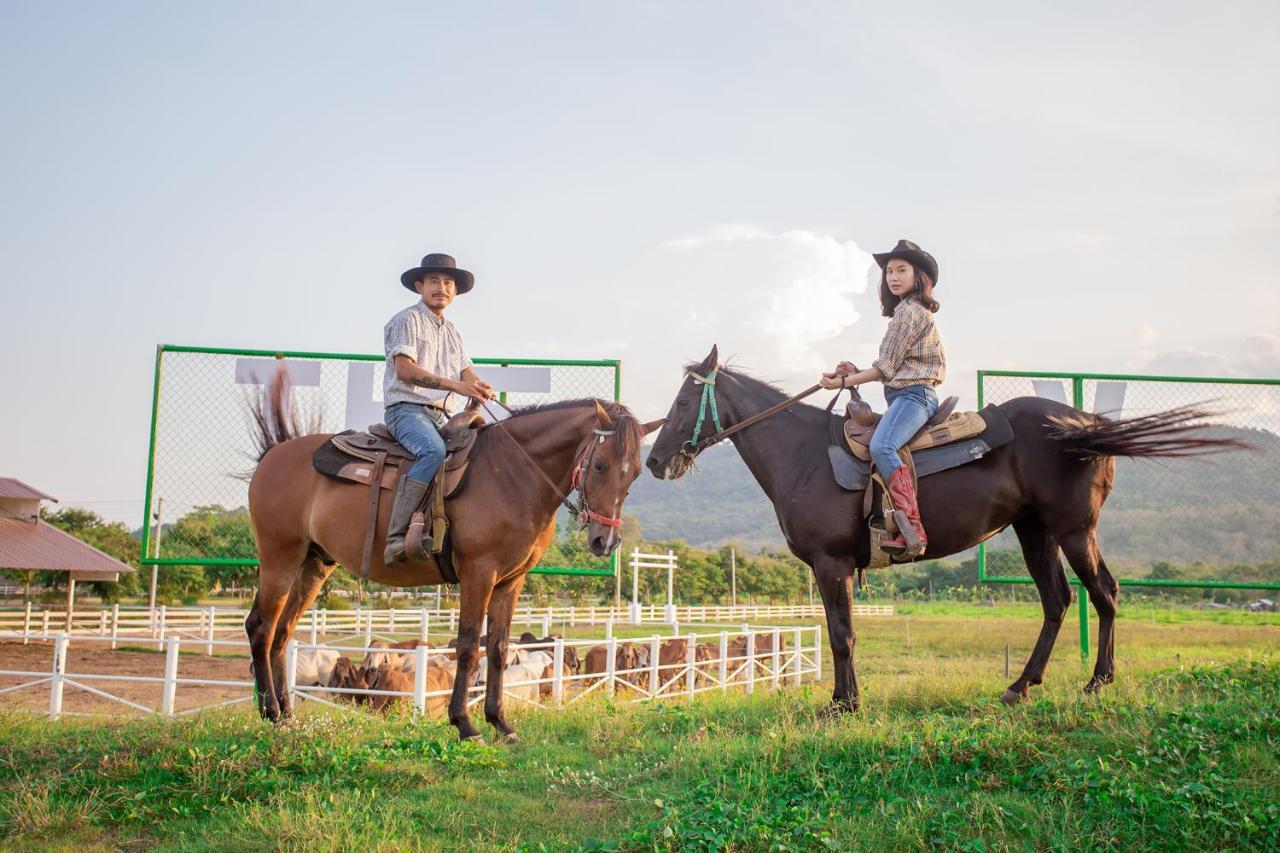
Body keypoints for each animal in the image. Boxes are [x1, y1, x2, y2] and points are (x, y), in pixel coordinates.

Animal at [244, 373, 660, 737]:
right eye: (601, 464)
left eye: (636, 473)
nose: (605, 541)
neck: (512, 473)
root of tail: (274, 454)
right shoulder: (478, 573)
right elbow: (467, 646)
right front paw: (464, 723)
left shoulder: (511, 581)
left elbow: (498, 648)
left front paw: (500, 722)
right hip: (280, 557)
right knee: (261, 626)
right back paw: (271, 712)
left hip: (314, 564)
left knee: (283, 631)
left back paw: (286, 714)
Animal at [645, 345, 1244, 712]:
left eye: (683, 400)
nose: (653, 462)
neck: (803, 454)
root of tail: (1086, 425)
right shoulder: (834, 568)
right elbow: (844, 633)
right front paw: (847, 699)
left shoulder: (830, 563)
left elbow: (841, 635)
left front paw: (843, 705)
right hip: (1035, 531)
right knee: (1058, 600)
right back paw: (1020, 686)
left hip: (1074, 529)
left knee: (1104, 593)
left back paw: (1097, 680)